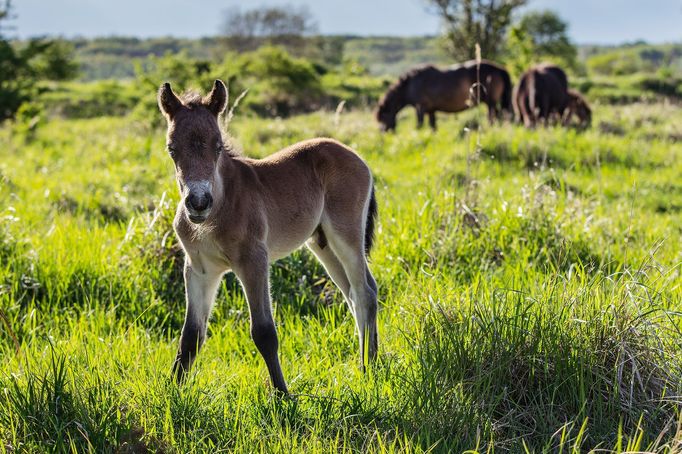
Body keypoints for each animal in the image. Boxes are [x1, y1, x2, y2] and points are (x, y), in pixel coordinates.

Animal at [157, 80, 378, 392]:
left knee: (364, 292)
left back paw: (369, 369)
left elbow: (263, 332)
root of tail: (355, 155)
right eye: (172, 148)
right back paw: (369, 363)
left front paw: (283, 395)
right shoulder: (199, 269)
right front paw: (172, 391)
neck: (220, 206)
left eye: (218, 146)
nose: (198, 202)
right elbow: (191, 335)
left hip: (345, 235)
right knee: (355, 294)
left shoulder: (254, 261)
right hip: (322, 244)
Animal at [378, 59, 510, 131]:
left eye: (382, 119)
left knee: (493, 117)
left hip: (490, 102)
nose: (383, 135)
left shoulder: (420, 108)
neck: (410, 84)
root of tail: (499, 68)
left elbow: (419, 125)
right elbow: (433, 126)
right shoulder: (431, 110)